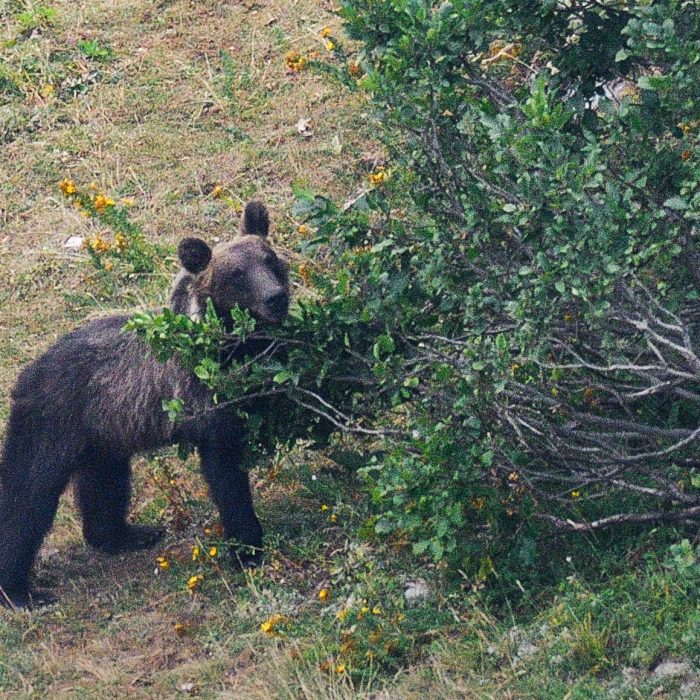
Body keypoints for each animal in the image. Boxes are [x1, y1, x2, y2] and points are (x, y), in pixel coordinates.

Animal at [0, 201, 290, 608]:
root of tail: (25, 373)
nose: (275, 298)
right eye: (236, 274)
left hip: (105, 433)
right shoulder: (204, 406)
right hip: (51, 424)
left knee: (105, 485)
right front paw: (247, 547)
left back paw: (127, 533)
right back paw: (21, 590)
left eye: (269, 258)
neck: (231, 349)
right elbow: (227, 476)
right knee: (27, 496)